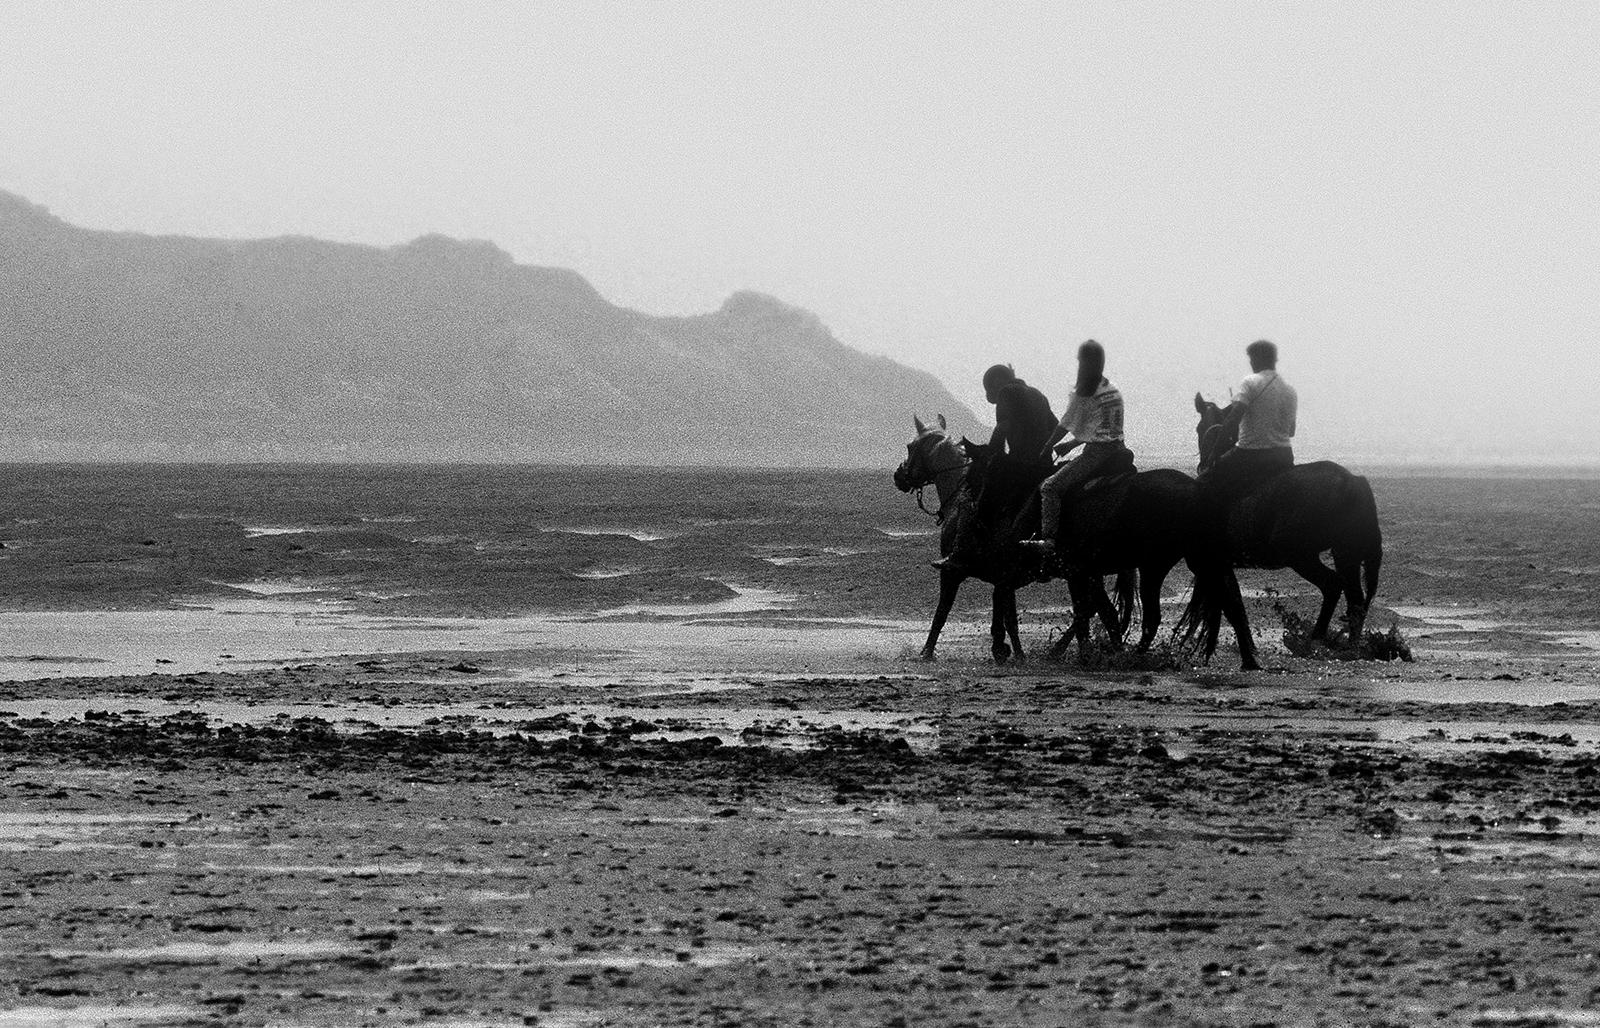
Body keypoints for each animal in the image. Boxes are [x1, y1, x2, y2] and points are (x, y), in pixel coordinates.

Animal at [889, 413, 1139, 659]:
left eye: (910, 446)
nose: (898, 476)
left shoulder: (954, 573)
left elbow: (943, 611)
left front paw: (927, 651)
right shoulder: (1004, 578)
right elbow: (1004, 613)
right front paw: (1008, 650)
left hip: (1083, 574)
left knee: (1099, 611)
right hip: (1086, 575)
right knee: (1098, 611)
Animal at [1196, 392, 1382, 640]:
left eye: (1199, 428)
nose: (1202, 465)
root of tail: (1353, 481)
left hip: (1301, 555)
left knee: (1333, 586)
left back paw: (1316, 637)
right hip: (1346, 553)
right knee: (1355, 601)